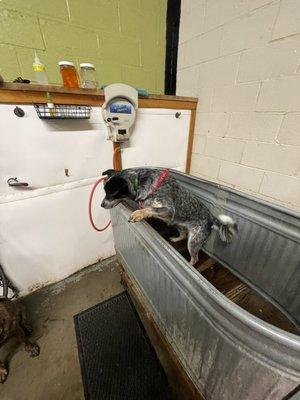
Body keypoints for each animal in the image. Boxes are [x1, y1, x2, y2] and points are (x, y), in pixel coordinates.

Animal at [102, 167, 238, 264]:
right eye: (104, 191)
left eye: (112, 193)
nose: (101, 205)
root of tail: (211, 218)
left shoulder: (168, 210)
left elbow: (150, 208)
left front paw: (138, 214)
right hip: (178, 225)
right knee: (183, 235)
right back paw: (176, 239)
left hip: (193, 242)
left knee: (195, 258)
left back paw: (189, 264)